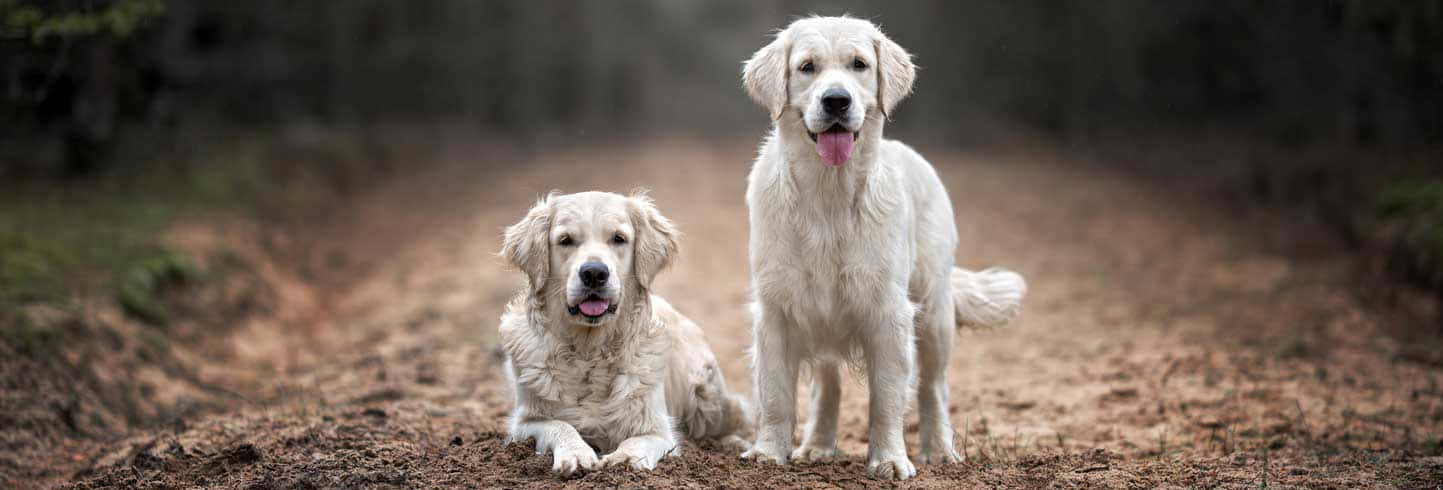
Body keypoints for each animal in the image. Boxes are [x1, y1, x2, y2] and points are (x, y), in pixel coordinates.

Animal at [499, 191, 744, 475]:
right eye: (565, 240)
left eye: (618, 238)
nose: (594, 273)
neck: (589, 353)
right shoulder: (524, 423)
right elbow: (561, 425)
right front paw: (576, 453)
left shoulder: (658, 430)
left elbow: (636, 440)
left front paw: (625, 459)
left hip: (707, 396)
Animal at [738, 17, 1033, 481]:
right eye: (807, 67)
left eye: (859, 64)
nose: (836, 100)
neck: (829, 193)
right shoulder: (777, 310)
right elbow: (775, 394)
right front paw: (768, 452)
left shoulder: (889, 313)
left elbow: (888, 397)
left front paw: (891, 459)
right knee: (828, 384)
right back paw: (817, 446)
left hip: (934, 312)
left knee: (933, 387)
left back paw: (940, 450)